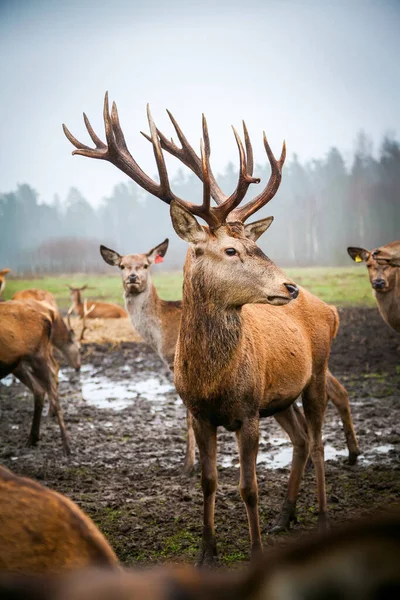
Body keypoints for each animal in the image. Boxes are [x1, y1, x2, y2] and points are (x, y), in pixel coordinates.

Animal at [0, 300, 70, 454]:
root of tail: (46, 317)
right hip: (18, 363)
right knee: (39, 389)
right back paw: (33, 438)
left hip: (37, 355)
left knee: (52, 389)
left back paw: (66, 447)